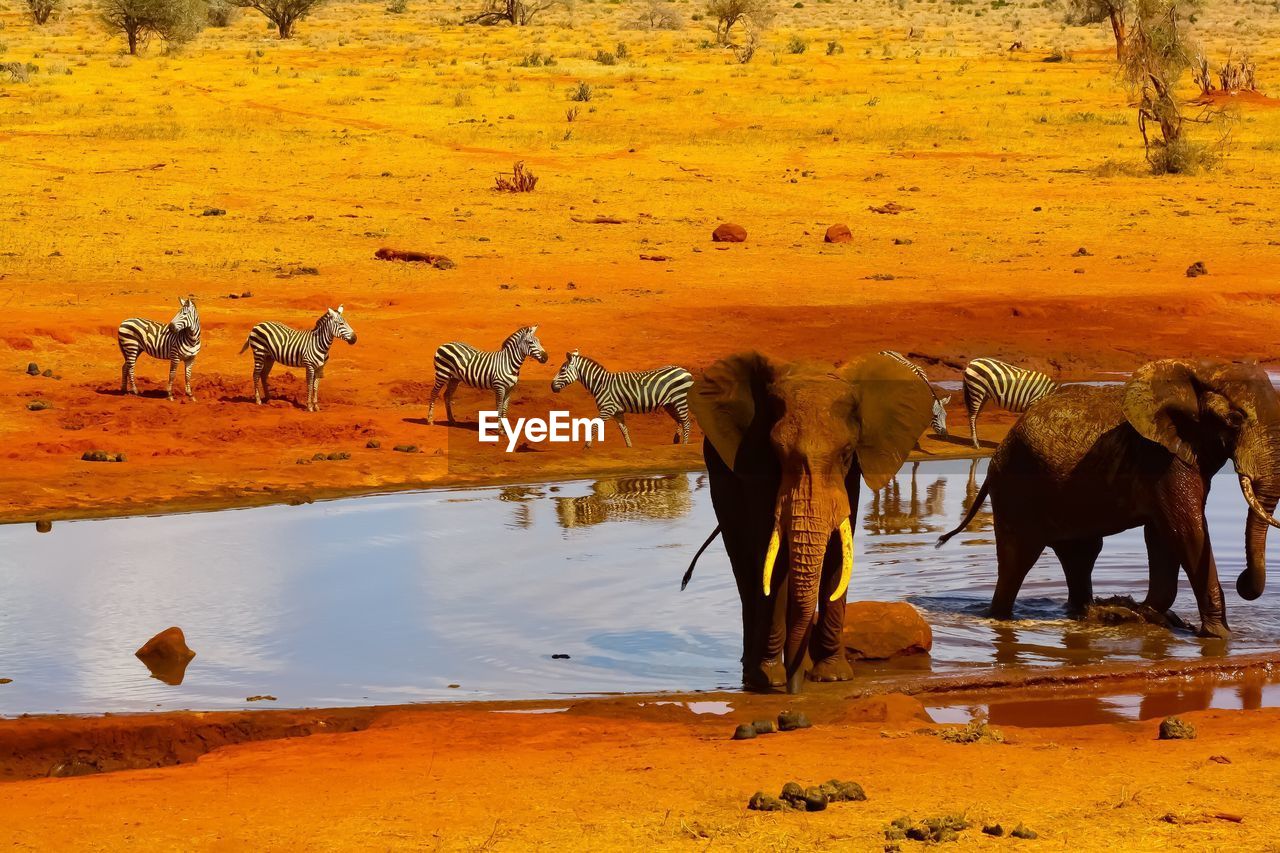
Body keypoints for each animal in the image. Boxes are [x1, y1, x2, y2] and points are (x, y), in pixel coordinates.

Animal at [547, 348, 691, 448]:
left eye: (562, 371)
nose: (551, 387)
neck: (601, 384)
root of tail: (684, 371)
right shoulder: (617, 412)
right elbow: (624, 430)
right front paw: (629, 446)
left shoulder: (607, 409)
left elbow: (594, 425)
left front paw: (587, 446)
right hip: (669, 404)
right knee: (679, 420)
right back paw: (676, 440)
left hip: (679, 399)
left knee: (686, 421)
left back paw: (684, 444)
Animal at [691, 350, 931, 691]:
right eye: (777, 454)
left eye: (846, 453)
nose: (795, 687)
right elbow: (772, 561)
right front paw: (772, 679)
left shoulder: (851, 477)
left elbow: (838, 551)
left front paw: (832, 676)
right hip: (719, 477)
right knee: (744, 566)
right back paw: (754, 674)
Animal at [936, 356, 1280, 635]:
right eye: (1235, 419)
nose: (1243, 580)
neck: (1200, 370)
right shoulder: (1161, 456)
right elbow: (1186, 528)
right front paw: (1220, 637)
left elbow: (1163, 534)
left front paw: (1149, 614)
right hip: (1014, 486)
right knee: (1018, 558)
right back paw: (1001, 618)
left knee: (1081, 554)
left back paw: (1082, 613)